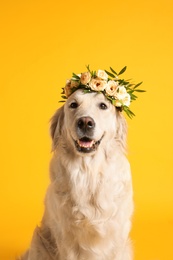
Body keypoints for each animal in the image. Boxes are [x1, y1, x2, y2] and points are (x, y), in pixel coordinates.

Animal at [19, 88, 134, 258]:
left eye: (103, 105)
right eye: (73, 105)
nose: (85, 122)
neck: (89, 173)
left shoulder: (117, 233)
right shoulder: (66, 238)